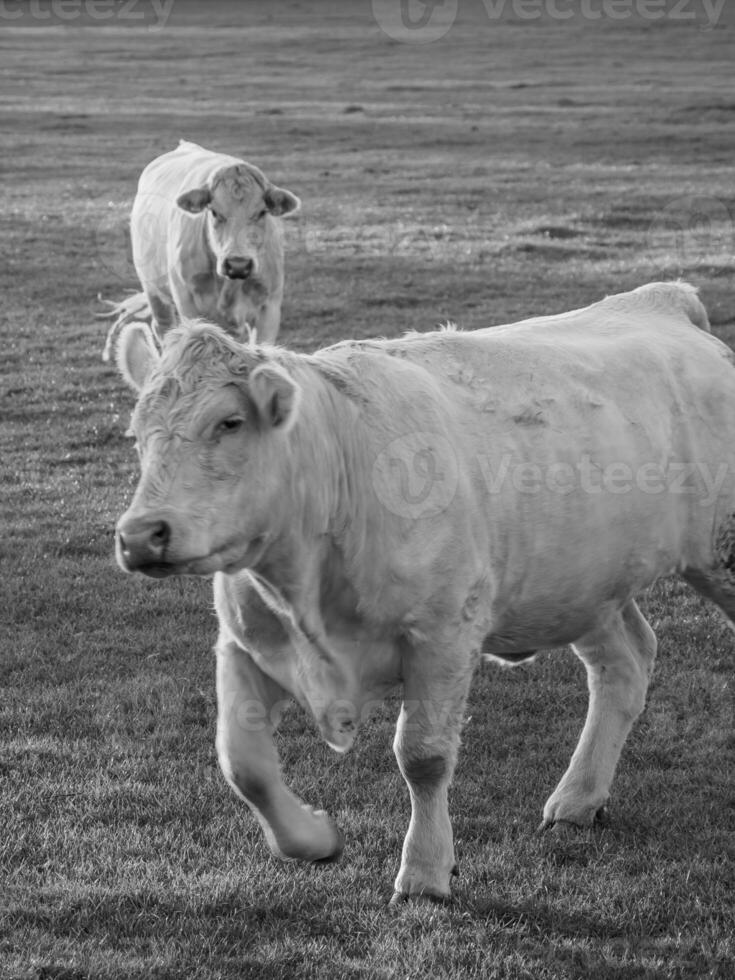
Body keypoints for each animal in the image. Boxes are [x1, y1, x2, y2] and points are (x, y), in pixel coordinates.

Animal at [101, 142, 302, 360]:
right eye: (214, 211)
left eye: (262, 212)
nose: (238, 265)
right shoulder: (188, 304)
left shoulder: (269, 308)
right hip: (153, 290)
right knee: (162, 327)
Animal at [113, 284, 735, 904]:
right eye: (137, 435)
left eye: (230, 421)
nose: (141, 534)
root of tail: (662, 299)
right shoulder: (246, 643)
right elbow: (243, 763)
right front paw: (313, 838)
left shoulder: (443, 634)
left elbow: (424, 756)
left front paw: (425, 871)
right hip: (580, 583)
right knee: (624, 665)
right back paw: (579, 797)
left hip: (715, 556)